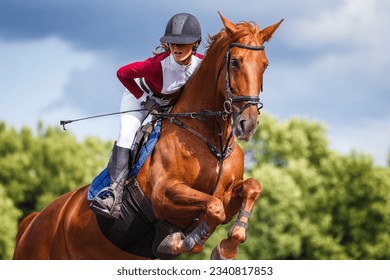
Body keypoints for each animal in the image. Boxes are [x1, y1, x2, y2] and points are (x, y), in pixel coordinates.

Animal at [12, 12, 280, 260]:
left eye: (265, 64)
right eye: (235, 62)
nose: (248, 124)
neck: (213, 143)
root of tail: (34, 220)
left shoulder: (226, 193)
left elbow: (251, 188)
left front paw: (227, 246)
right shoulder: (164, 194)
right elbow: (213, 209)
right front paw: (185, 241)